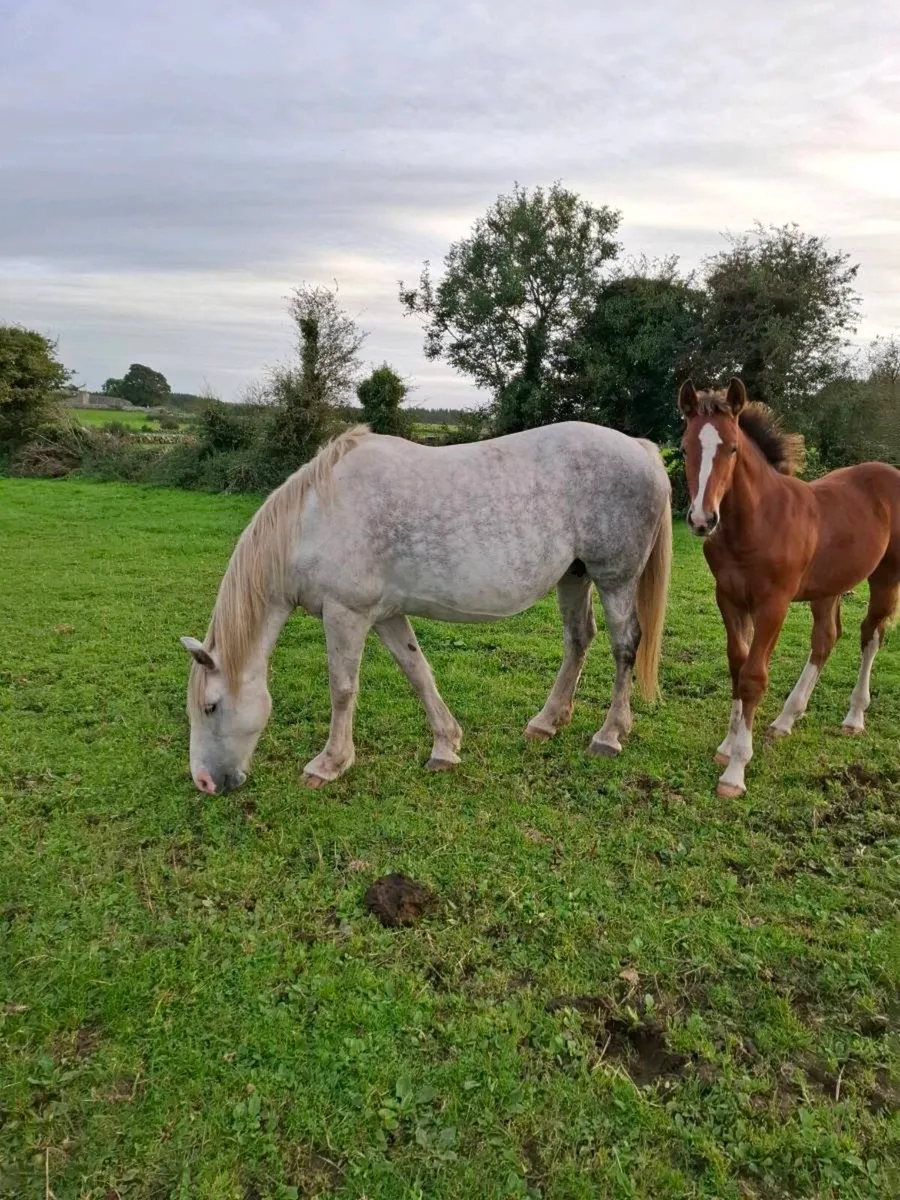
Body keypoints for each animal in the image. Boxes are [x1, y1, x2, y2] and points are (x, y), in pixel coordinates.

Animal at [180, 422, 672, 794]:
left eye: (210, 706)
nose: (204, 781)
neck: (315, 520)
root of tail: (642, 448)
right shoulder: (386, 616)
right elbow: (417, 672)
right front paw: (446, 746)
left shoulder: (346, 614)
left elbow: (342, 689)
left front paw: (329, 763)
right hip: (575, 575)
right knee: (578, 639)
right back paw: (547, 722)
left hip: (615, 579)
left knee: (624, 646)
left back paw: (609, 735)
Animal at [678, 377, 900, 798]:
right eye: (684, 448)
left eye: (732, 448)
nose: (702, 519)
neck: (757, 522)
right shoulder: (729, 599)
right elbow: (737, 664)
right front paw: (727, 745)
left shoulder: (773, 605)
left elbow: (754, 675)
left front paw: (735, 771)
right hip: (828, 587)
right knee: (826, 639)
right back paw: (785, 720)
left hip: (886, 576)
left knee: (871, 635)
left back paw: (854, 717)